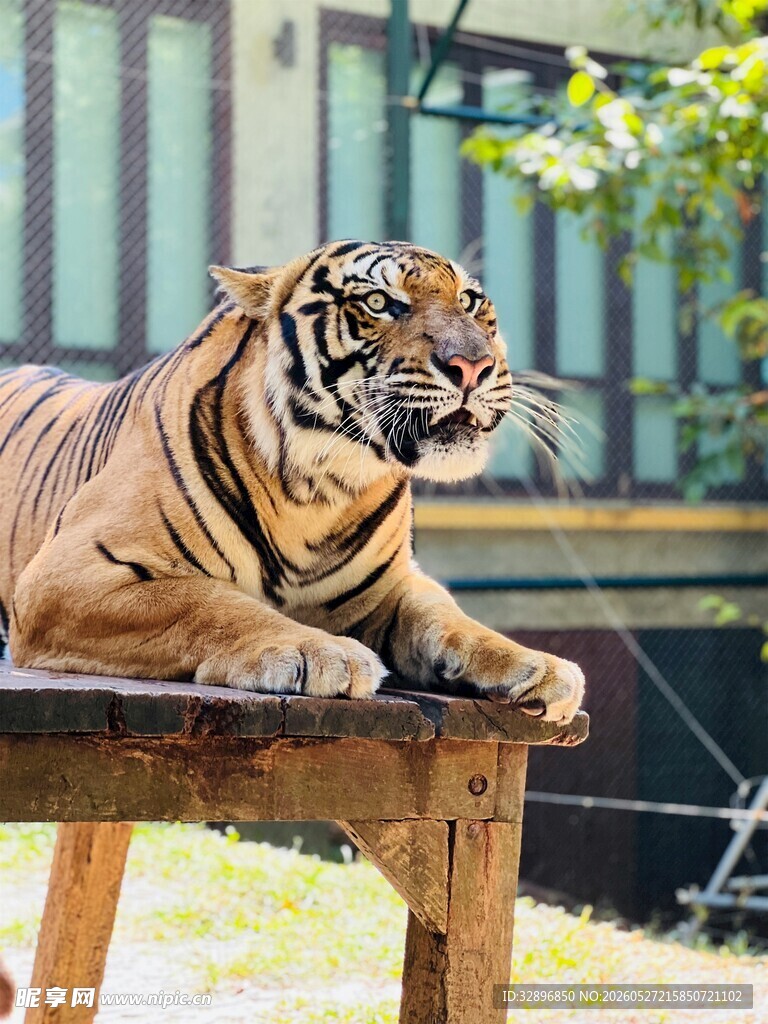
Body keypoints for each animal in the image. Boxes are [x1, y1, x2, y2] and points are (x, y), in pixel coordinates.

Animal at [0, 240, 584, 721]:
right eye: (379, 303)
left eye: (469, 301)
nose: (473, 366)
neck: (321, 491)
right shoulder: (66, 573)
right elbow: (208, 601)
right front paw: (322, 652)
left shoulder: (392, 587)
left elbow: (447, 617)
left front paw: (538, 666)